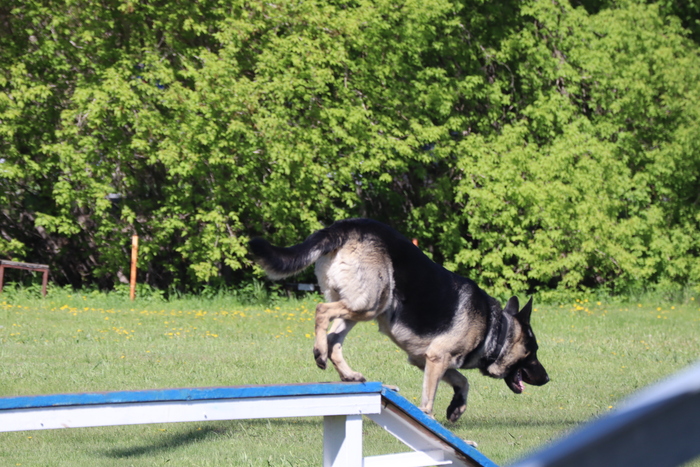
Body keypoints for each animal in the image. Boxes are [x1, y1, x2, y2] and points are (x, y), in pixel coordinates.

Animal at [249, 218, 549, 422]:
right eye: (533, 353)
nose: (547, 378)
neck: (495, 329)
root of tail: (347, 225)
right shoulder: (436, 359)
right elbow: (431, 397)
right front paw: (430, 417)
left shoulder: (425, 359)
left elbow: (463, 380)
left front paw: (456, 408)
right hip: (370, 303)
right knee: (322, 311)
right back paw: (319, 353)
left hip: (359, 307)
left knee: (335, 340)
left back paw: (349, 375)